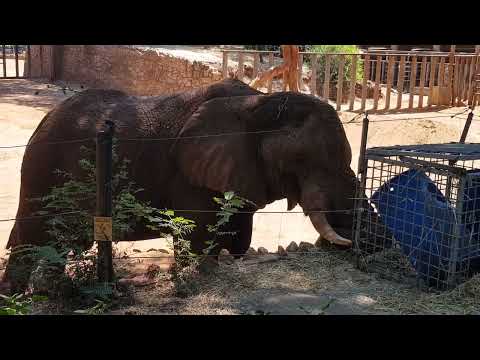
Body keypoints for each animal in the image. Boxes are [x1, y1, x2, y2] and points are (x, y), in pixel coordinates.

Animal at [1, 77, 388, 292]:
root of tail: (44, 119)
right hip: (44, 169)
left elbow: (235, 237)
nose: (367, 249)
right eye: (302, 161)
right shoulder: (189, 175)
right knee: (34, 236)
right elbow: (198, 238)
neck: (258, 102)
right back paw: (21, 295)